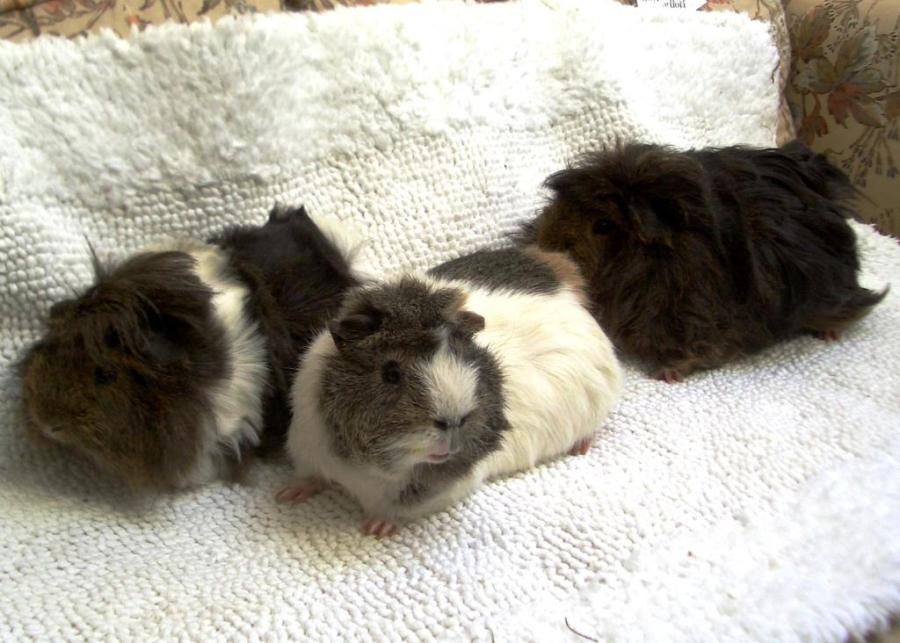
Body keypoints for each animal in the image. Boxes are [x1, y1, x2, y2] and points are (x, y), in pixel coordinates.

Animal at [277, 246, 622, 537]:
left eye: (464, 357)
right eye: (390, 373)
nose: (454, 420)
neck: (366, 467)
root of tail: (569, 292)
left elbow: (396, 509)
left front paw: (375, 529)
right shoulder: (307, 446)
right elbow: (309, 475)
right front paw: (286, 496)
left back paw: (581, 448)